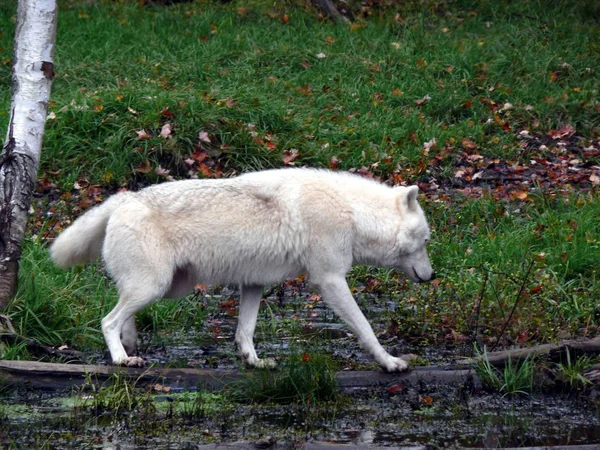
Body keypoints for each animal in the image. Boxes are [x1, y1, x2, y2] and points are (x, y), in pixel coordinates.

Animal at [50, 169, 436, 372]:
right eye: (426, 240)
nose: (431, 276)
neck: (353, 213)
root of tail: (124, 198)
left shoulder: (253, 283)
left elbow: (244, 331)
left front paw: (254, 362)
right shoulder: (329, 281)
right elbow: (365, 328)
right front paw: (390, 362)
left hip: (164, 287)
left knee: (122, 312)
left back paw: (131, 348)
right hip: (156, 287)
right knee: (107, 320)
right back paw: (120, 358)